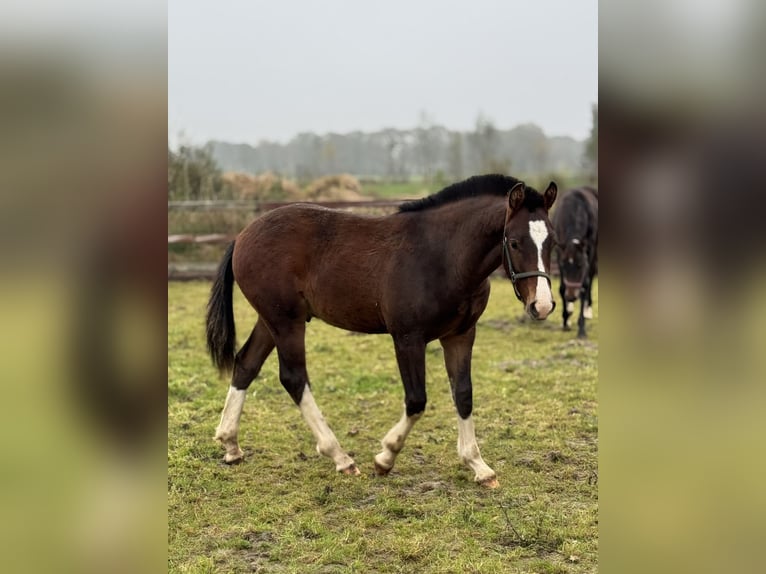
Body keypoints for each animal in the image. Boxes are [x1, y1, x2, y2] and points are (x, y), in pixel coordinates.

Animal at [207, 173, 560, 488]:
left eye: (552, 242)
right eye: (514, 242)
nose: (541, 305)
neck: (442, 255)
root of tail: (242, 236)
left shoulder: (460, 335)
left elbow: (463, 394)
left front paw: (478, 466)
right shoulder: (408, 338)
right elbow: (416, 400)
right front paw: (385, 458)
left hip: (272, 320)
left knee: (246, 364)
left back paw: (230, 444)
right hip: (286, 322)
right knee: (293, 378)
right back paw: (341, 458)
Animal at [556, 187, 596, 340]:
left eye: (581, 266)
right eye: (563, 266)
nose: (572, 296)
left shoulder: (589, 252)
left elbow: (585, 286)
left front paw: (582, 329)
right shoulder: (559, 252)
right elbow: (562, 287)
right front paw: (565, 320)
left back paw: (587, 309)